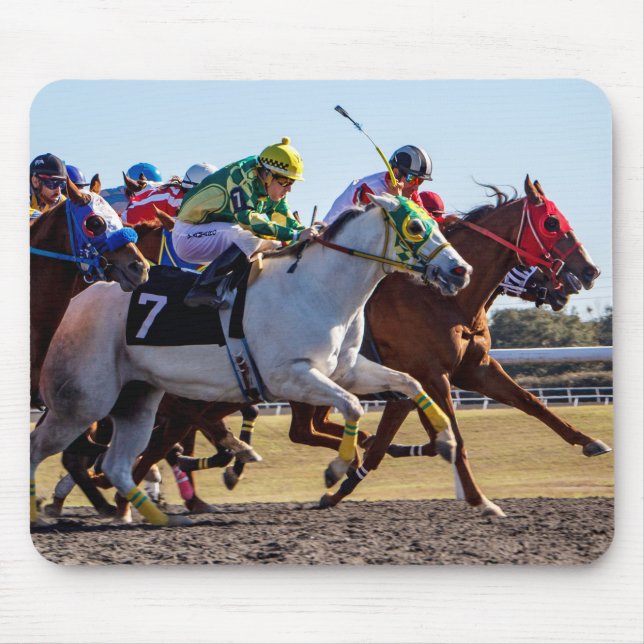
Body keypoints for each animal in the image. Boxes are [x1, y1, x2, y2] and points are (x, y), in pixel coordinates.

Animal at [30, 193, 472, 526]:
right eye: (416, 227)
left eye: (433, 222)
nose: (460, 270)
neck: (319, 288)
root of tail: (79, 299)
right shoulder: (290, 376)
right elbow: (352, 407)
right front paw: (335, 469)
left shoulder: (345, 369)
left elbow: (410, 383)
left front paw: (446, 440)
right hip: (85, 400)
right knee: (47, 446)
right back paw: (46, 511)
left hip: (137, 399)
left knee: (117, 463)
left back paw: (160, 517)